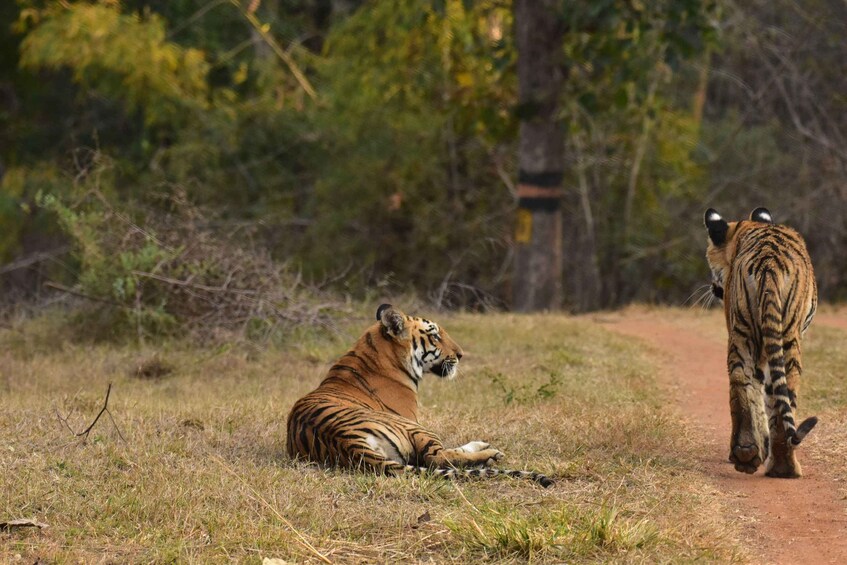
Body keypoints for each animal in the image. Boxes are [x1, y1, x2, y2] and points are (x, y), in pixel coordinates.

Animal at [286, 304, 553, 487]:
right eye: (435, 335)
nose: (461, 354)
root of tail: (349, 443)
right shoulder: (414, 419)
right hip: (413, 427)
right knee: (438, 457)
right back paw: (490, 455)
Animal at [704, 207, 818, 478]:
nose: (713, 287)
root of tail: (769, 262)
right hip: (788, 337)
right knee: (783, 394)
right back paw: (784, 467)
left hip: (742, 333)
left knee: (741, 379)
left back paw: (746, 452)